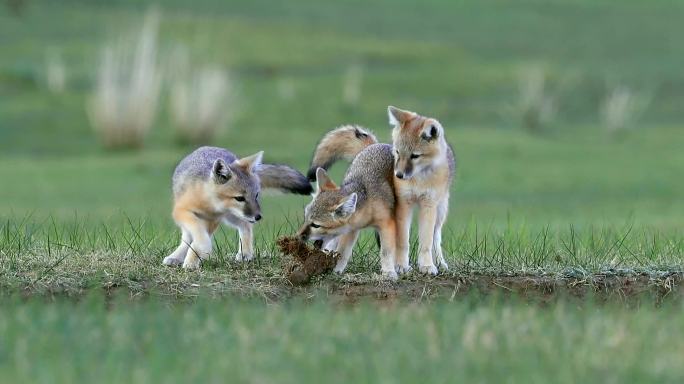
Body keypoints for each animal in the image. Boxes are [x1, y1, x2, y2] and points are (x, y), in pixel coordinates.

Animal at [296, 143, 398, 280]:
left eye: (316, 225)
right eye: (306, 218)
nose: (297, 236)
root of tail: (380, 144)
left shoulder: (386, 224)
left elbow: (386, 251)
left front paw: (389, 272)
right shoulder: (351, 230)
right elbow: (343, 252)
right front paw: (336, 271)